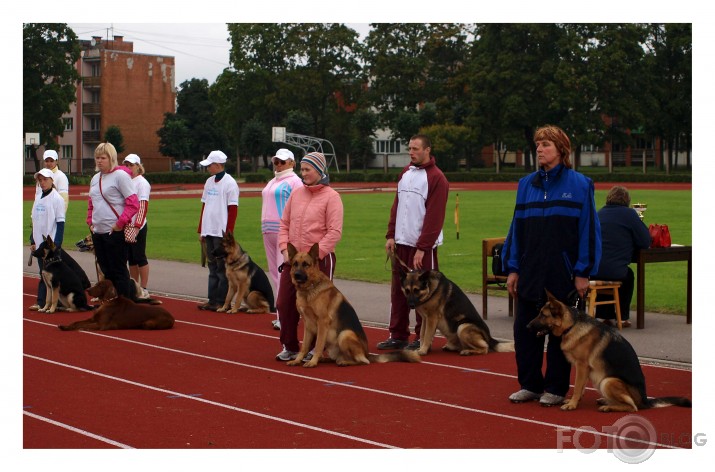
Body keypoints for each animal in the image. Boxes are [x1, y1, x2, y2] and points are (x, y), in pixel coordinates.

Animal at [286, 243, 420, 368]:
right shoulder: (308, 325)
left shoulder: (322, 323)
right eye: (295, 264)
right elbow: (304, 346)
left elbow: (318, 345)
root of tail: (367, 353)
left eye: (306, 264)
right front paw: (298, 360)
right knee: (338, 358)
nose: (296, 275)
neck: (309, 290)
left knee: (362, 361)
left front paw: (313, 362)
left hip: (345, 334)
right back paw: (327, 359)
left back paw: (343, 362)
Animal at [528, 292, 692, 412]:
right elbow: (581, 387)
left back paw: (609, 407)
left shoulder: (582, 366)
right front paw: (576, 401)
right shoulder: (585, 369)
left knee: (632, 407)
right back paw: (606, 401)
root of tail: (645, 400)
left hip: (607, 381)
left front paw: (572, 404)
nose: (527, 326)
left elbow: (577, 387)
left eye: (543, 315)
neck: (572, 325)